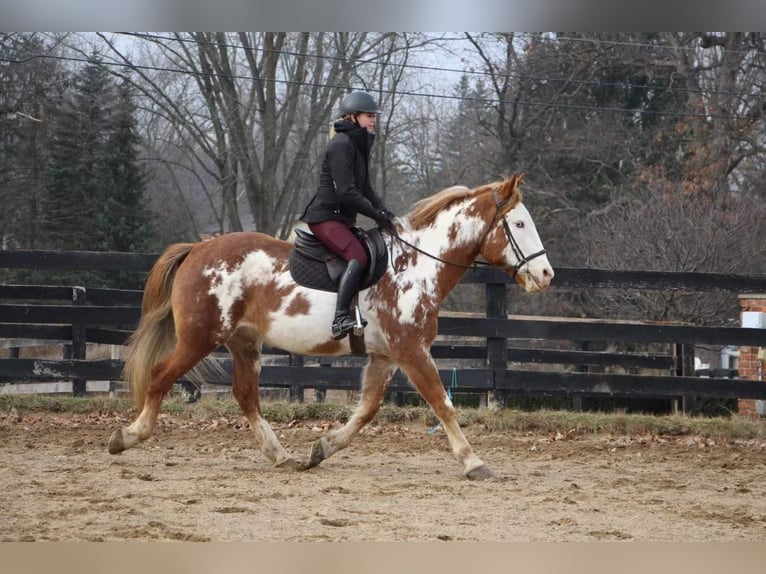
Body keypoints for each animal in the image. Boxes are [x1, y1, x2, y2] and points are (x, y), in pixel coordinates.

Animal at [106, 174, 552, 482]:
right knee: (160, 377)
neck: (415, 266)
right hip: (200, 338)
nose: (547, 275)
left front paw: (323, 448)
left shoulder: (385, 357)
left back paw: (281, 456)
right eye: (519, 224)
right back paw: (128, 436)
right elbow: (442, 403)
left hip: (243, 343)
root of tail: (198, 248)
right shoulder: (411, 351)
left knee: (247, 396)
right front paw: (474, 462)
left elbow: (367, 410)